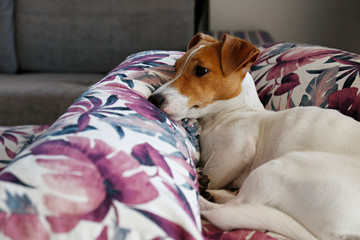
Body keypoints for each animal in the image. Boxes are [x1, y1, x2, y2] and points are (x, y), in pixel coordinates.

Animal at [148, 33, 360, 240]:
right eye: (175, 67)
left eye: (201, 70)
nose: (152, 99)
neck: (231, 112)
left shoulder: (236, 151)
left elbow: (216, 171)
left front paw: (204, 179)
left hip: (277, 169)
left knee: (232, 209)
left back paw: (203, 193)